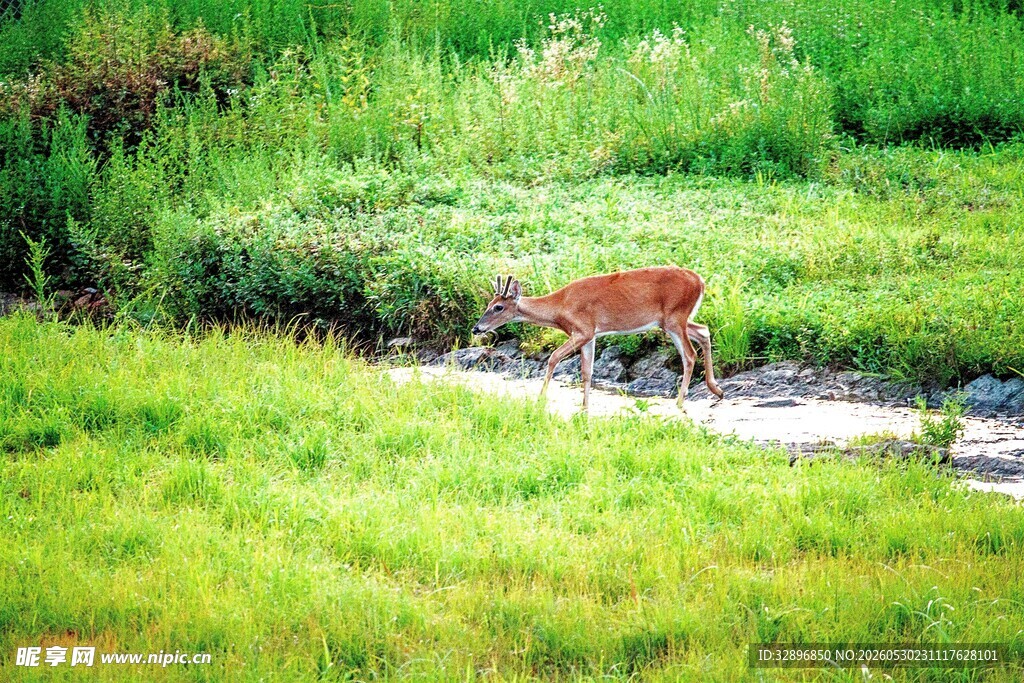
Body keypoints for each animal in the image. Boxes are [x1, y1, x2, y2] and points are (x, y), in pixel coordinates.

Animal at [471, 266, 724, 411]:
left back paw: (680, 402)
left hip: (674, 317)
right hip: (675, 319)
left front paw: (540, 399)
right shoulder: (591, 334)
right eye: (488, 304)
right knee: (704, 331)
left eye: (498, 307)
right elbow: (587, 371)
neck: (560, 308)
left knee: (689, 355)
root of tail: (700, 282)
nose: (476, 328)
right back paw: (716, 390)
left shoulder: (582, 329)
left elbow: (553, 357)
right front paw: (584, 408)